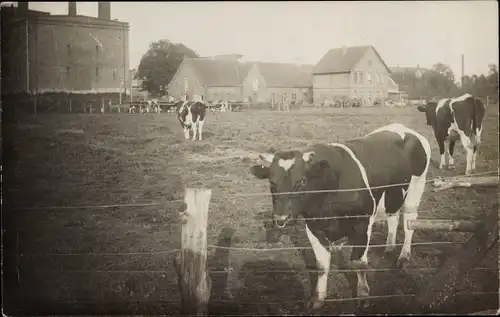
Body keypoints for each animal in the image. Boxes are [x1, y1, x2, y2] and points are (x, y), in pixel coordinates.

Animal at [250, 123, 430, 308]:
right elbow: (321, 265)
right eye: (272, 182)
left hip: (416, 188)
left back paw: (404, 257)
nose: (281, 218)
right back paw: (389, 247)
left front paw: (363, 294)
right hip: (393, 194)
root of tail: (402, 127)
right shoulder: (313, 227)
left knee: (409, 224)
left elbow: (359, 262)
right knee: (392, 216)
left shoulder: (362, 224)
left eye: (301, 181)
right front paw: (318, 298)